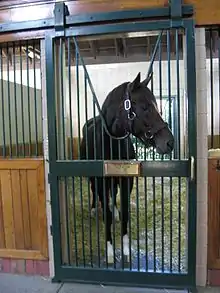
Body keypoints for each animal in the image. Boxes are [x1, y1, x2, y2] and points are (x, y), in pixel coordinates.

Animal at [80, 72, 174, 262]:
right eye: (145, 107)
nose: (170, 142)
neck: (111, 142)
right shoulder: (102, 179)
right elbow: (106, 213)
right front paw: (109, 252)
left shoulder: (126, 181)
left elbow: (124, 214)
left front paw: (125, 250)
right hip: (95, 178)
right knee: (95, 191)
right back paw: (93, 210)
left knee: (113, 194)